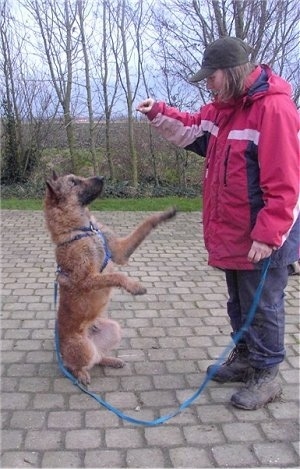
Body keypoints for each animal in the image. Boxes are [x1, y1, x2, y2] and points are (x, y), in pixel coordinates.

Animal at [44, 172, 176, 384]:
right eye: (73, 182)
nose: (101, 177)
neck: (84, 230)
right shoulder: (87, 279)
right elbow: (117, 274)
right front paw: (134, 286)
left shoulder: (120, 252)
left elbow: (145, 224)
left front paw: (165, 214)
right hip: (83, 348)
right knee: (74, 365)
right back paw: (80, 374)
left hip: (114, 329)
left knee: (98, 357)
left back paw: (111, 360)